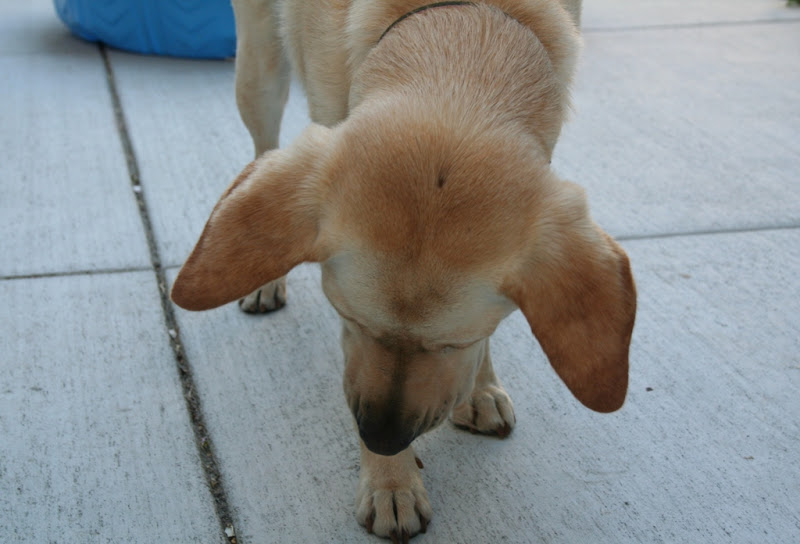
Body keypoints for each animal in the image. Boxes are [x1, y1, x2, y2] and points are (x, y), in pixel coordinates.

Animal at [172, 1, 636, 540]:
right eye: (349, 319)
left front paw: (481, 385)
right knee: (263, 155)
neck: (466, 35)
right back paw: (266, 275)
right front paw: (390, 483)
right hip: (260, 68)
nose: (382, 438)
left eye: (453, 343)